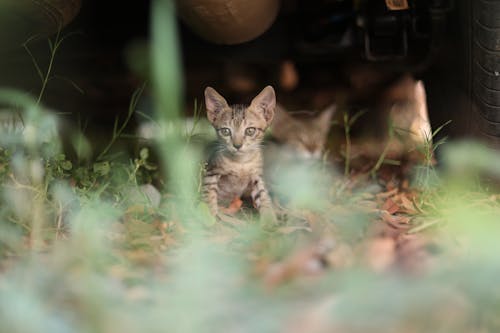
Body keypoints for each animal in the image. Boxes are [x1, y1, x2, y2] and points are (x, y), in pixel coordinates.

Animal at [200, 86, 276, 218]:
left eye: (250, 131)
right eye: (226, 131)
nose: (237, 145)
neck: (241, 163)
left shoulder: (256, 176)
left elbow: (263, 195)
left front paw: (269, 219)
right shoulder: (211, 173)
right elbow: (209, 195)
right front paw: (210, 217)